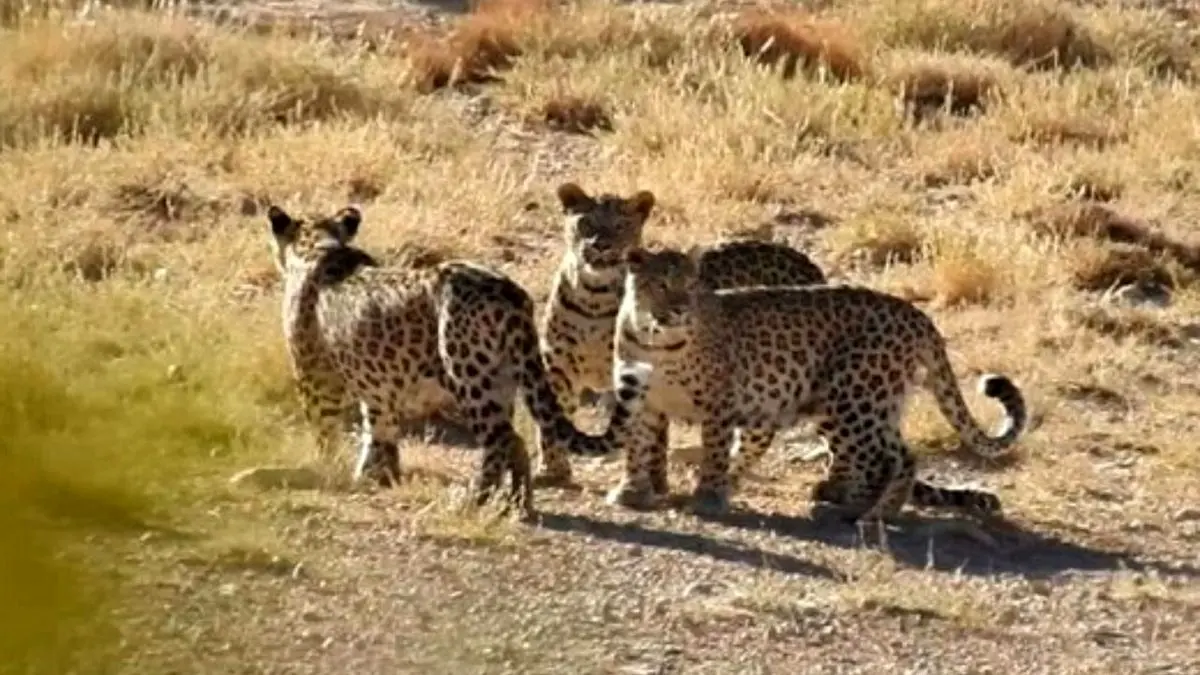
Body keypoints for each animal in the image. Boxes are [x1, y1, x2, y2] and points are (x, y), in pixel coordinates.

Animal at [267, 200, 652, 514]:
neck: (318, 246)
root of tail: (510, 291)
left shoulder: (316, 384)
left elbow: (328, 434)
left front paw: (332, 468)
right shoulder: (379, 392)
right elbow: (379, 433)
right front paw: (379, 475)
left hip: (469, 376)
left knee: (499, 440)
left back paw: (475, 502)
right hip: (502, 380)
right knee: (514, 440)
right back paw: (518, 504)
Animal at [540, 181, 830, 485]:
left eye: (621, 226)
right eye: (586, 223)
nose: (600, 245)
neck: (594, 299)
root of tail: (805, 262)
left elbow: (648, 438)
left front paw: (649, 481)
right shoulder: (559, 369)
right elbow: (552, 419)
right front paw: (554, 470)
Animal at [614, 243, 1027, 523]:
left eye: (691, 283)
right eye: (662, 285)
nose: (681, 308)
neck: (656, 339)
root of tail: (914, 313)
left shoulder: (719, 402)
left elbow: (714, 452)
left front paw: (708, 497)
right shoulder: (640, 398)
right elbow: (637, 445)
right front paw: (632, 490)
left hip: (854, 395)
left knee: (897, 457)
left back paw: (873, 514)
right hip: (863, 401)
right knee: (874, 454)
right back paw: (844, 496)